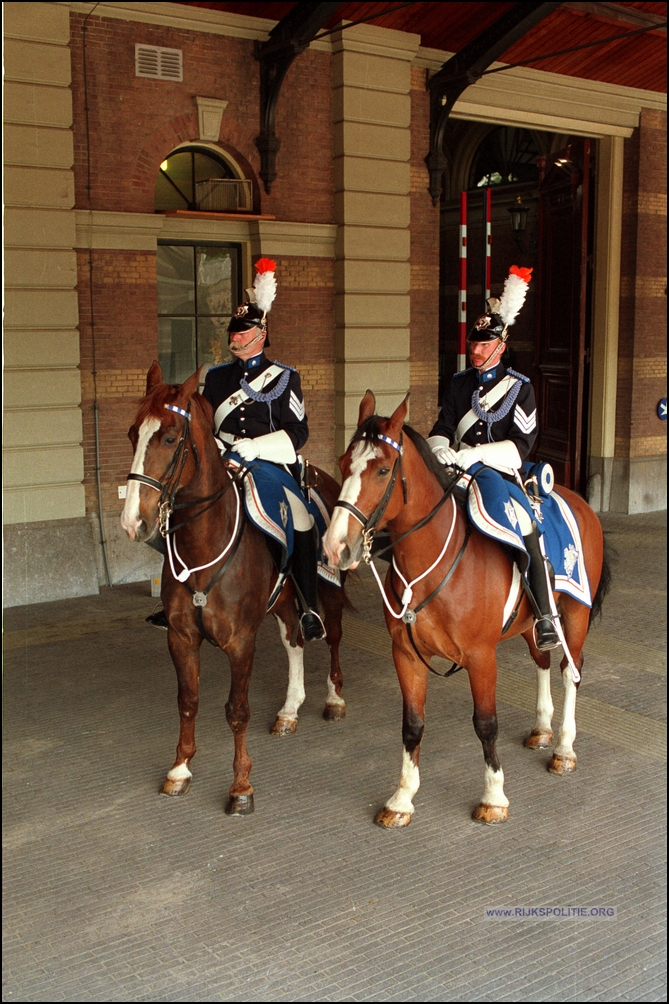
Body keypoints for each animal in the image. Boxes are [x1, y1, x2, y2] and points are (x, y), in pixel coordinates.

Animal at [122, 361, 345, 815]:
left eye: (169, 436)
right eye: (134, 433)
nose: (133, 521)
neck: (205, 541)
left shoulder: (241, 642)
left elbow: (237, 710)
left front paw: (241, 786)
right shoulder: (181, 638)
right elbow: (188, 702)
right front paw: (179, 769)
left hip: (326, 592)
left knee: (330, 636)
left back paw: (333, 699)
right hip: (283, 601)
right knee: (294, 640)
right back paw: (289, 709)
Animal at [321, 395, 606, 827]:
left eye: (383, 469)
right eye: (342, 463)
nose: (335, 547)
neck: (432, 567)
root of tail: (578, 500)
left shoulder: (480, 657)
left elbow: (486, 724)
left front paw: (494, 797)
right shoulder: (406, 654)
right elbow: (412, 725)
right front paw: (402, 798)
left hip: (575, 615)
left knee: (569, 670)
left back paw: (564, 749)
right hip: (532, 623)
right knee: (542, 659)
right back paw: (542, 729)